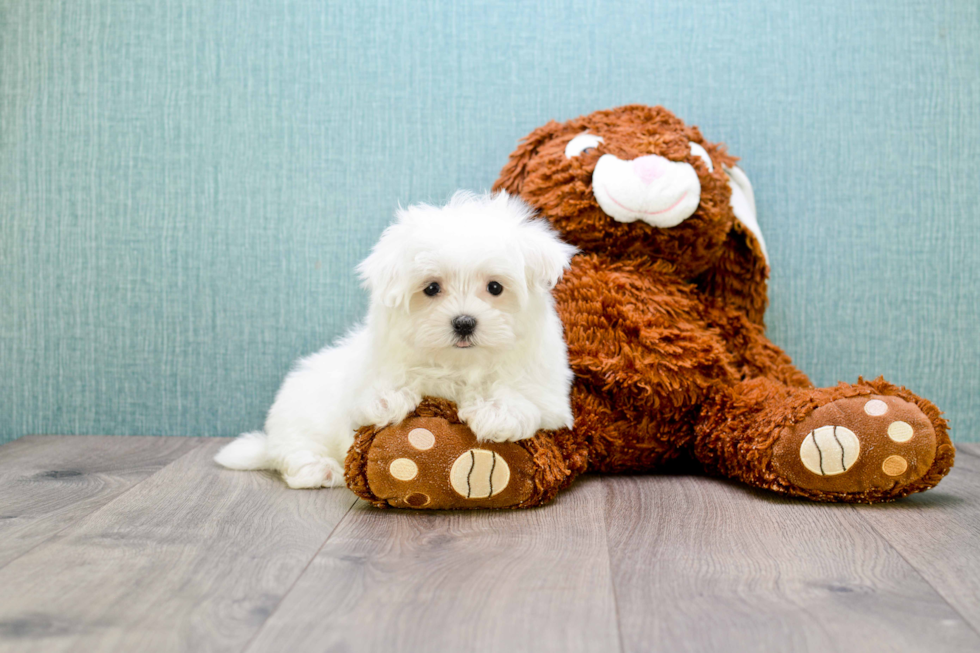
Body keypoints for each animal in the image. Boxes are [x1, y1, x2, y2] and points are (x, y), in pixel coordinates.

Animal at [214, 191, 580, 486]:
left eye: (495, 287)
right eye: (431, 288)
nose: (464, 322)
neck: (459, 364)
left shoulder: (549, 394)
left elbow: (521, 394)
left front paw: (498, 412)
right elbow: (373, 393)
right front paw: (386, 399)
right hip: (300, 413)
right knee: (293, 450)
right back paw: (320, 468)